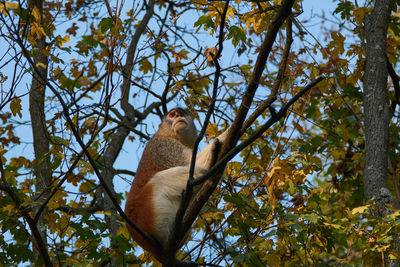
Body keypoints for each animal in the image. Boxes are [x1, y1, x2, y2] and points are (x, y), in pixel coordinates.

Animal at [123, 109, 227, 264]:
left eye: (181, 113)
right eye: (172, 115)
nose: (178, 116)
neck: (166, 134)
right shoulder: (165, 146)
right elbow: (191, 163)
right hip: (149, 212)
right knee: (162, 179)